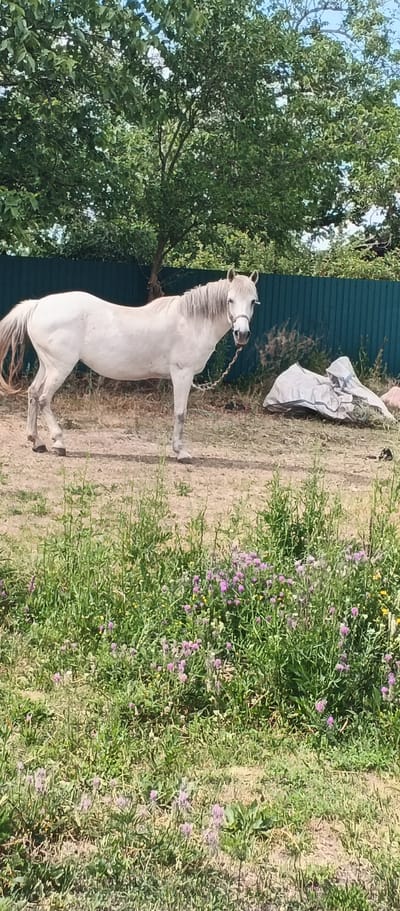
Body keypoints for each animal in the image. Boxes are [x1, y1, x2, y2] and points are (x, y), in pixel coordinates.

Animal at [0, 267, 259, 462]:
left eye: (253, 302)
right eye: (230, 300)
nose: (242, 334)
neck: (191, 321)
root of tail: (38, 305)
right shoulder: (182, 375)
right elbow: (180, 413)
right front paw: (180, 452)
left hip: (47, 365)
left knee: (33, 394)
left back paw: (36, 441)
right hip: (60, 368)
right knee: (44, 398)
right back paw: (59, 443)